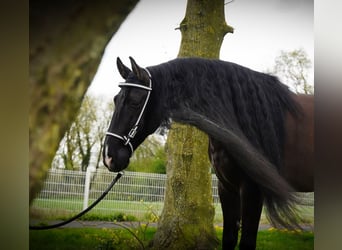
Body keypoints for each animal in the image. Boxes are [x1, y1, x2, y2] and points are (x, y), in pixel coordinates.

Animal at [103, 56, 314, 250]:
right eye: (116, 99)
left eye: (135, 102)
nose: (108, 156)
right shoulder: (227, 188)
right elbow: (229, 238)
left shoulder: (253, 190)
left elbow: (246, 242)